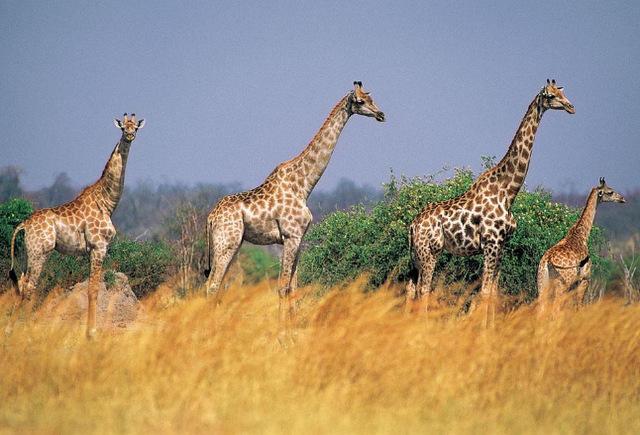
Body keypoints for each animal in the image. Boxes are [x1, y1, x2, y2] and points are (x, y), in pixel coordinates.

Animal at [9, 113, 144, 338]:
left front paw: (90, 330)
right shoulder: (99, 246)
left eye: (136, 127)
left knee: (21, 282)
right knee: (29, 285)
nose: (130, 135)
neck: (106, 202)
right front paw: (92, 332)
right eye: (123, 127)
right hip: (39, 252)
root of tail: (23, 225)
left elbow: (92, 287)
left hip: (32, 253)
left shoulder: (91, 250)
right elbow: (94, 289)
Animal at [206, 82, 384, 320]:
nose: (381, 114)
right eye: (361, 101)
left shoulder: (298, 238)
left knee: (214, 284)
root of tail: (210, 217)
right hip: (228, 241)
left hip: (229, 243)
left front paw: (292, 321)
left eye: (372, 98)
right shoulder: (291, 236)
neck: (303, 186)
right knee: (213, 285)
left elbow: (293, 286)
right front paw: (282, 325)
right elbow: (282, 286)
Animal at [408, 80, 576, 318]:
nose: (571, 107)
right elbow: (486, 292)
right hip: (429, 251)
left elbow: (494, 292)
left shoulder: (501, 245)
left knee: (411, 288)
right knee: (424, 289)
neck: (507, 192)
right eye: (551, 96)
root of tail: (413, 225)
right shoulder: (491, 243)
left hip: (417, 254)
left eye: (562, 92)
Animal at [536, 177, 624, 314]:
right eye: (610, 192)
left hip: (542, 282)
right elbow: (579, 304)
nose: (622, 199)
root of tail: (548, 260)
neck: (581, 235)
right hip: (563, 282)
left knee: (542, 308)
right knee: (556, 306)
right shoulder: (585, 278)